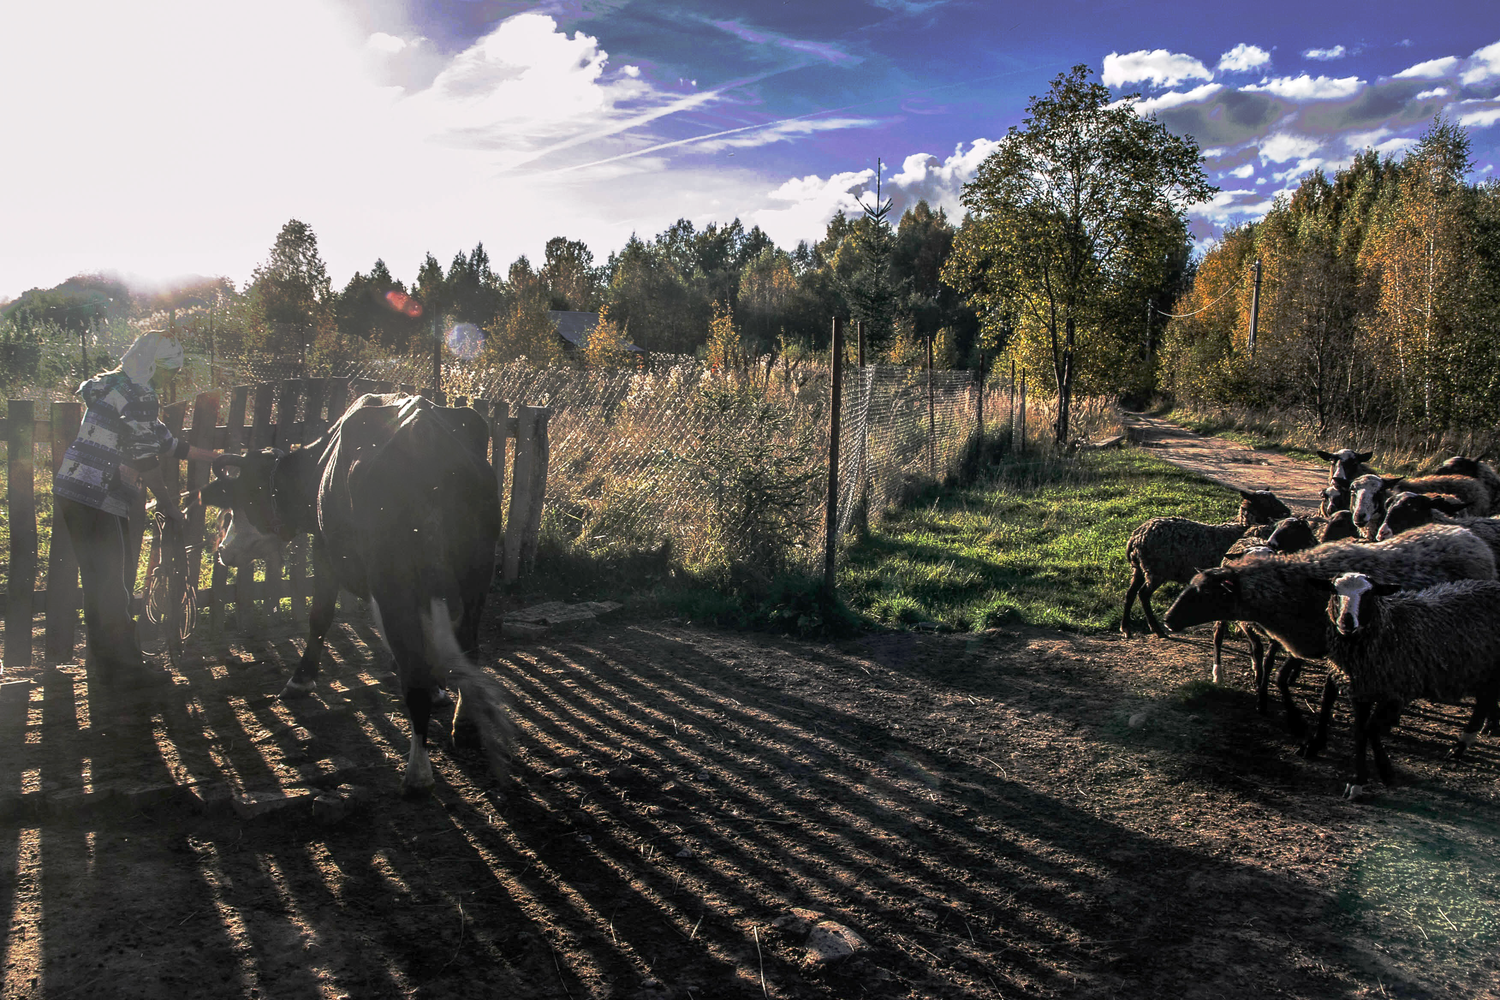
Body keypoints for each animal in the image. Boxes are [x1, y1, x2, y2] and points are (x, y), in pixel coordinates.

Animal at [199, 395, 510, 791]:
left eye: (241, 499)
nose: (223, 550)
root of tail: (425, 433)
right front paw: (437, 688)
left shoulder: (326, 552)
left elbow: (320, 615)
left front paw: (300, 680)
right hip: (475, 575)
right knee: (467, 648)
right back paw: (464, 725)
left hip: (393, 575)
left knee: (415, 671)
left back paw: (418, 772)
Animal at [1122, 491, 1296, 641]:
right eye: (1266, 501)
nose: (1287, 511)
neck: (1241, 528)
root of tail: (1136, 537)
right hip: (1156, 569)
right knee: (1143, 594)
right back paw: (1157, 630)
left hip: (1140, 568)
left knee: (1130, 593)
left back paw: (1126, 629)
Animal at [1158, 524, 1500, 743]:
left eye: (1206, 593)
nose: (1168, 619)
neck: (1290, 588)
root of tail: (1468, 536)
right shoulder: (1306, 643)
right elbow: (1282, 678)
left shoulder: (1330, 646)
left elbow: (1310, 688)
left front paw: (1306, 727)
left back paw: (1486, 724)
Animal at [1314, 575, 1500, 803]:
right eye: (1334, 592)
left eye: (1369, 594)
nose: (1347, 621)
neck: (1388, 627)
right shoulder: (1362, 690)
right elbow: (1360, 732)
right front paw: (1358, 782)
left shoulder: (1396, 692)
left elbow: (1370, 729)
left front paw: (1385, 773)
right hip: (1485, 668)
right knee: (1484, 700)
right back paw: (1461, 745)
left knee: (1486, 699)